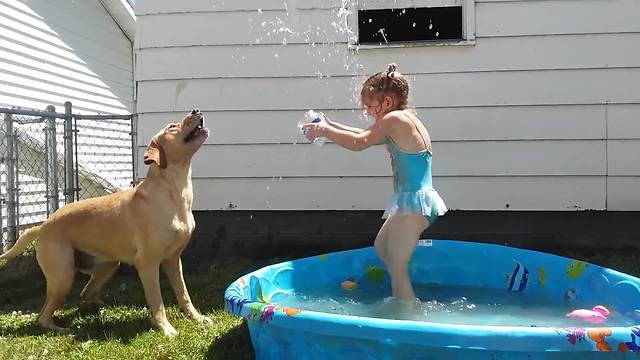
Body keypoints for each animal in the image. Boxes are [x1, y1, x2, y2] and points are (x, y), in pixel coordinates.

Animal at [0, 108, 211, 336]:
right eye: (172, 127)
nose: (196, 110)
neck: (175, 191)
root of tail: (43, 226)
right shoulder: (148, 263)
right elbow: (158, 302)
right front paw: (166, 329)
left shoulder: (173, 260)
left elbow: (184, 294)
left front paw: (197, 318)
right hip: (63, 277)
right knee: (44, 315)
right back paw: (62, 329)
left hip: (108, 266)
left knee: (86, 293)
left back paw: (103, 308)